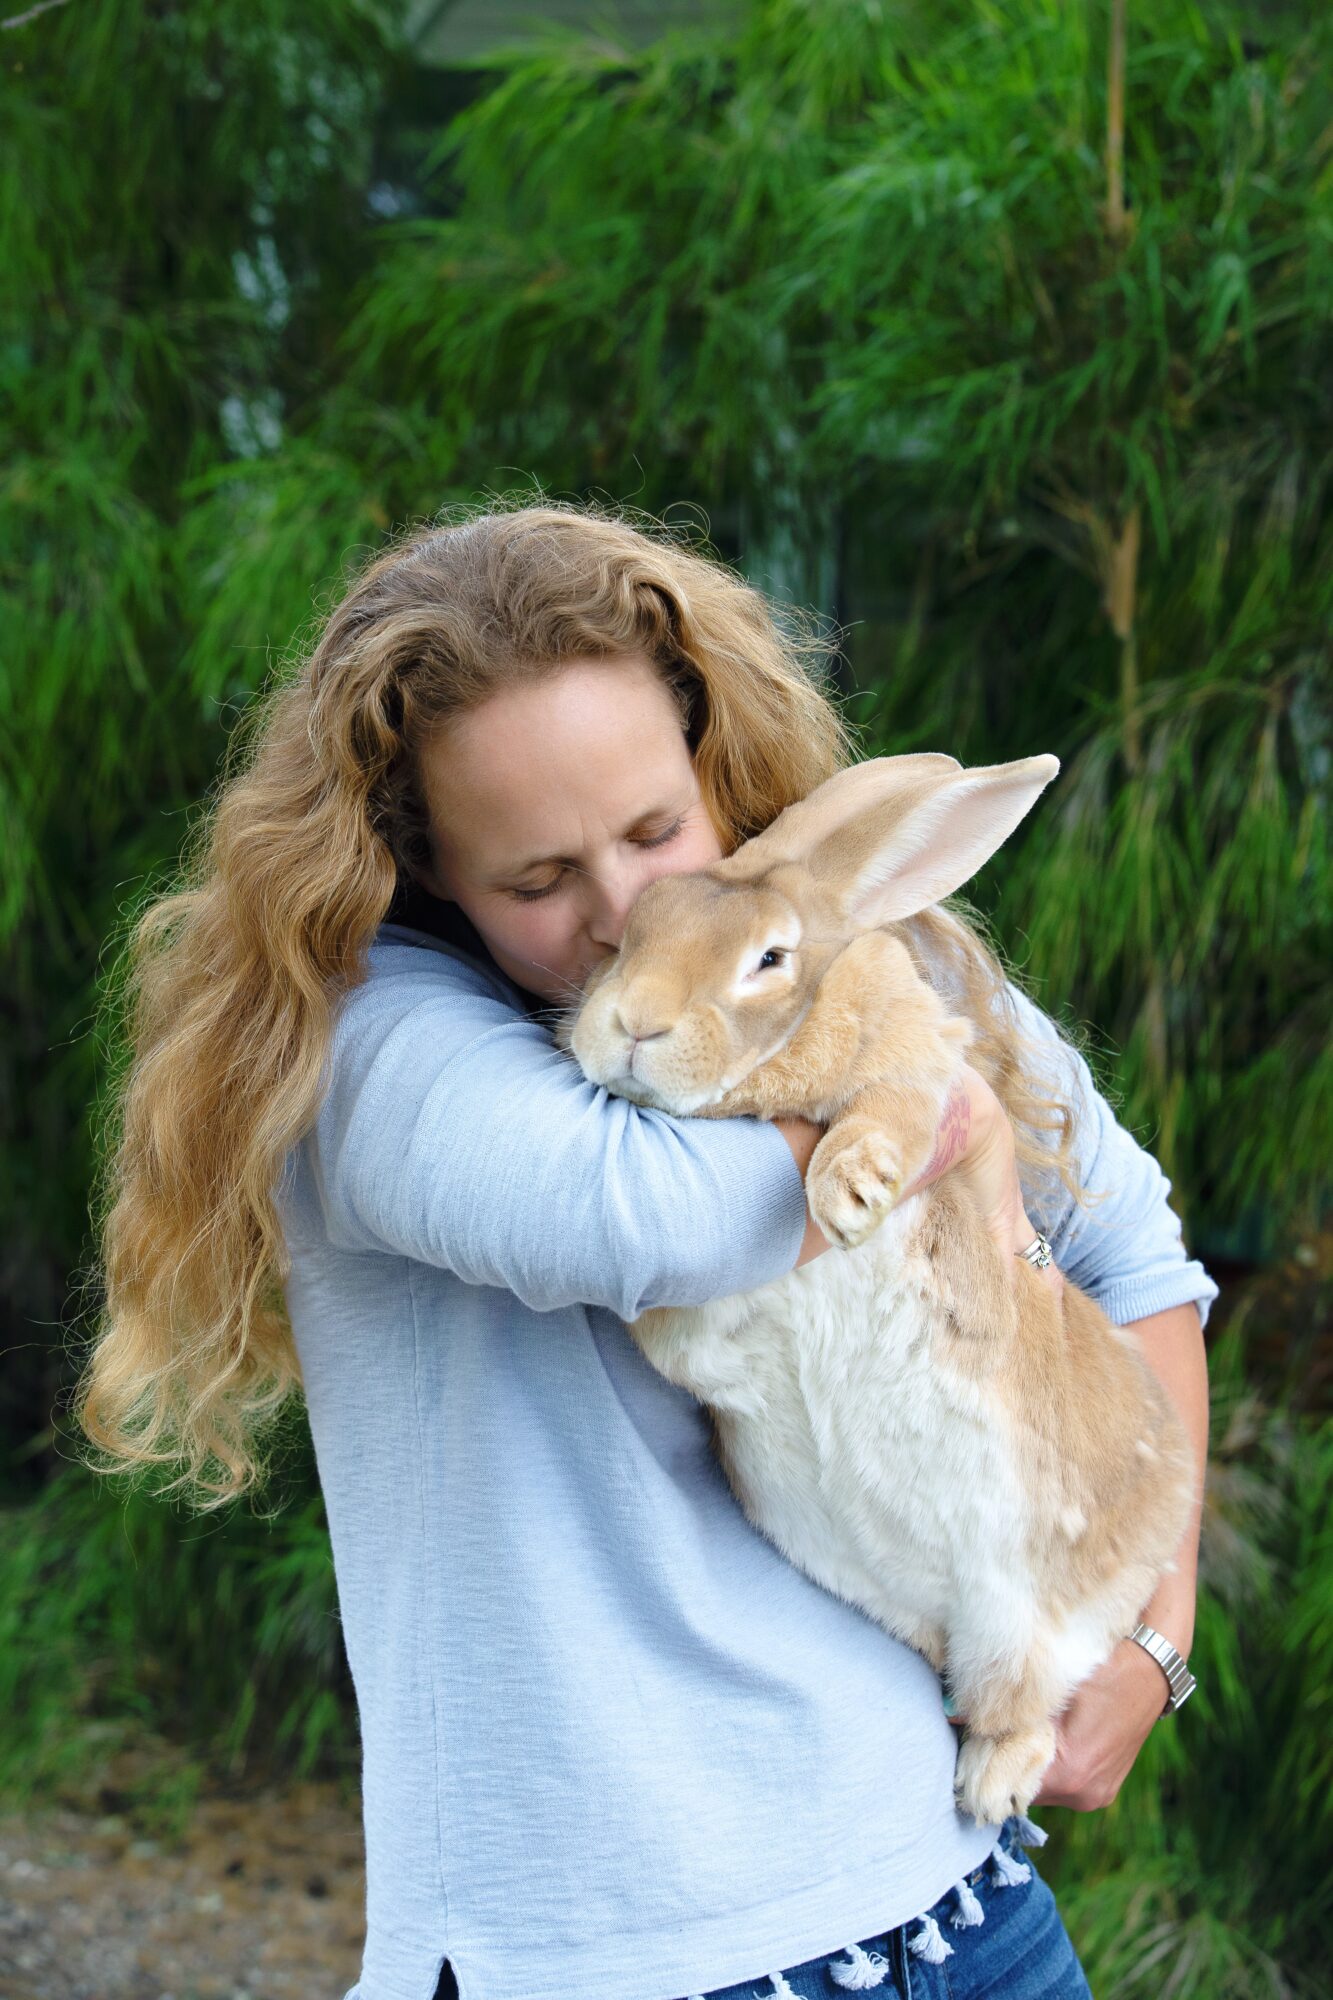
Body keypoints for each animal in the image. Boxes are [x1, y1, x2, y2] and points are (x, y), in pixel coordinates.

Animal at [563, 752, 1196, 1827]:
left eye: (769, 959)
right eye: (628, 932)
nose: (632, 1026)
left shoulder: (918, 1069)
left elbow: (885, 1113)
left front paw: (851, 1197)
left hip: (1031, 1625)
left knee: (1022, 1707)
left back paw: (991, 1787)